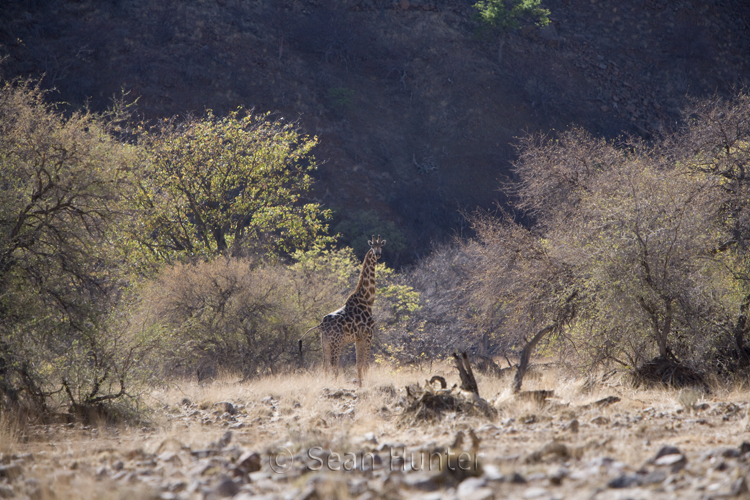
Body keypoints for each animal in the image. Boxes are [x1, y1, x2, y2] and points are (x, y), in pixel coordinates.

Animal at [299, 235, 385, 386]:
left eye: (381, 246)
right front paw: (365, 383)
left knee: (325, 366)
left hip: (325, 343)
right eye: (372, 246)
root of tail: (321, 325)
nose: (377, 254)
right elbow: (366, 364)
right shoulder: (368, 334)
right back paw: (334, 385)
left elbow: (358, 364)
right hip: (336, 343)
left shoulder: (359, 337)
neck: (368, 300)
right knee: (333, 365)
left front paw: (360, 384)